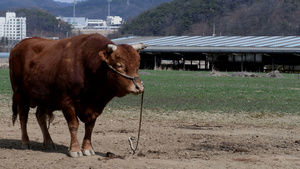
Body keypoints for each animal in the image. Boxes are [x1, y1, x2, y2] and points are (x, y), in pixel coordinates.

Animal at [9, 33, 148, 158]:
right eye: (119, 65)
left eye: (137, 65)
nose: (139, 87)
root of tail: (18, 46)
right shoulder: (67, 102)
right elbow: (73, 125)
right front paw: (75, 150)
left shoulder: (94, 107)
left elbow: (90, 127)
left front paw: (88, 148)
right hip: (20, 94)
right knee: (23, 117)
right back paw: (25, 142)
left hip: (44, 98)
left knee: (40, 117)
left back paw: (49, 142)